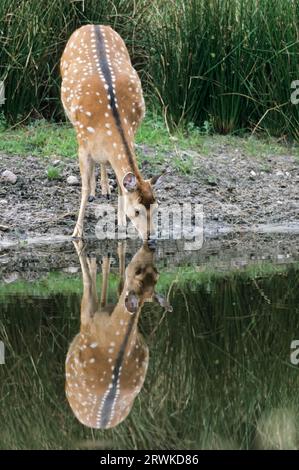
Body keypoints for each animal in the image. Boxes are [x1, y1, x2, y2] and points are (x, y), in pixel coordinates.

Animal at [59, 23, 161, 241]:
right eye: (137, 211)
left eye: (156, 207)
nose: (150, 236)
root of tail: (94, 24)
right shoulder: (82, 145)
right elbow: (84, 188)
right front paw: (76, 232)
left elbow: (122, 187)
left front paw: (121, 226)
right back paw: (96, 191)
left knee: (104, 163)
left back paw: (105, 189)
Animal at [66, 242, 173, 430]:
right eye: (156, 274)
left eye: (138, 271)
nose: (151, 246)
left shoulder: (87, 322)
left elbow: (88, 285)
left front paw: (91, 256)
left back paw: (100, 261)